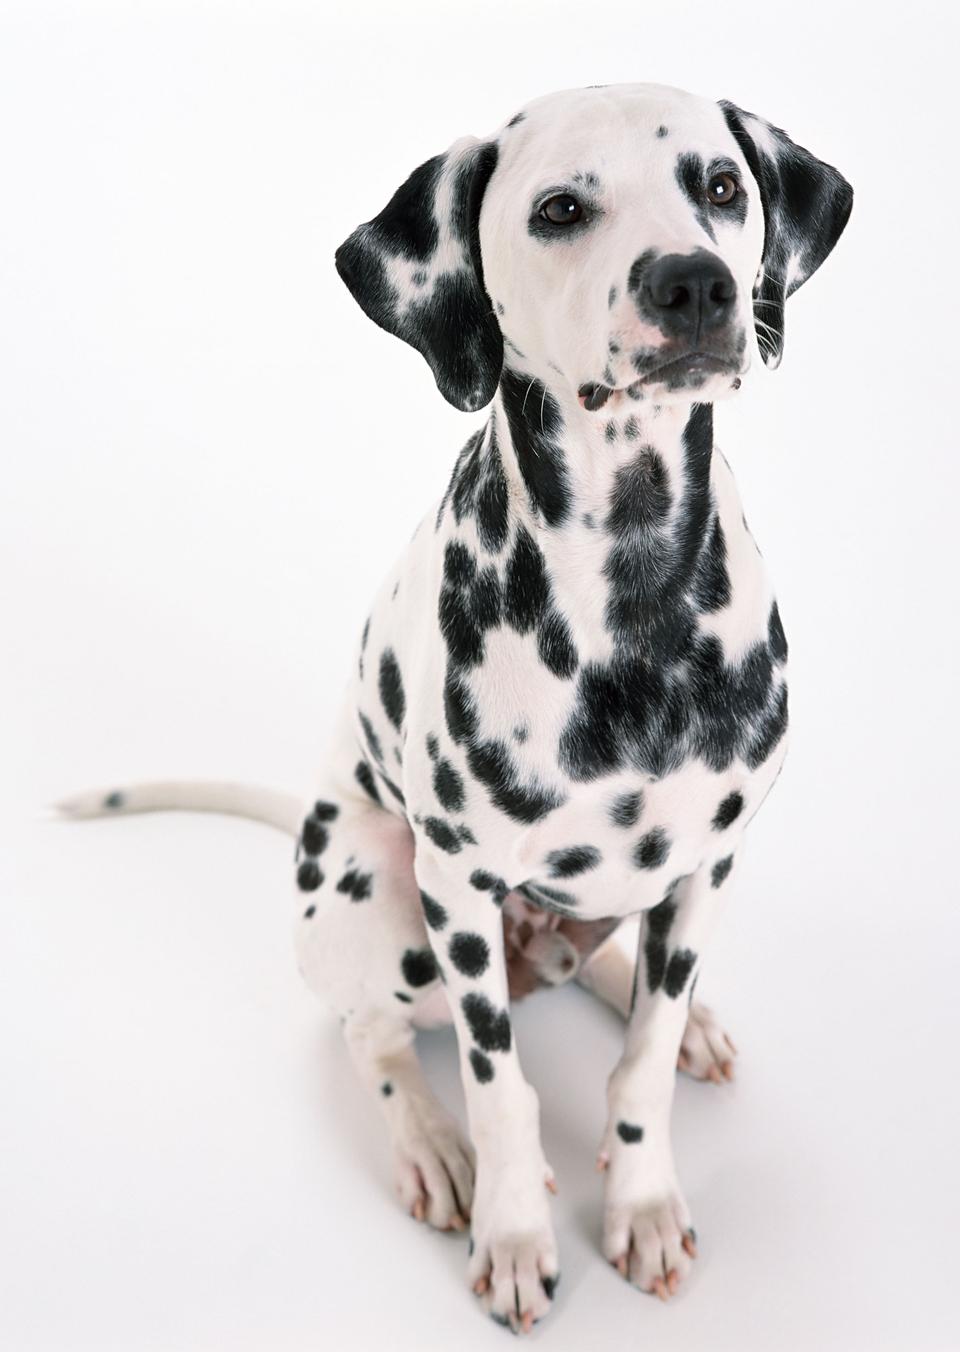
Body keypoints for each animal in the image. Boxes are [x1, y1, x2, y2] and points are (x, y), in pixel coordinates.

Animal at [63, 84, 854, 1330]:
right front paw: (516, 1227)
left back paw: (678, 1013)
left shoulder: (710, 862)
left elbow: (640, 1056)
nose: (695, 284)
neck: (632, 597)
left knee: (617, 969)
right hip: (377, 898)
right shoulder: (460, 886)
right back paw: (430, 1144)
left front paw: (642, 1197)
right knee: (372, 1032)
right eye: (561, 208)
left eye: (723, 187)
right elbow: (500, 1084)